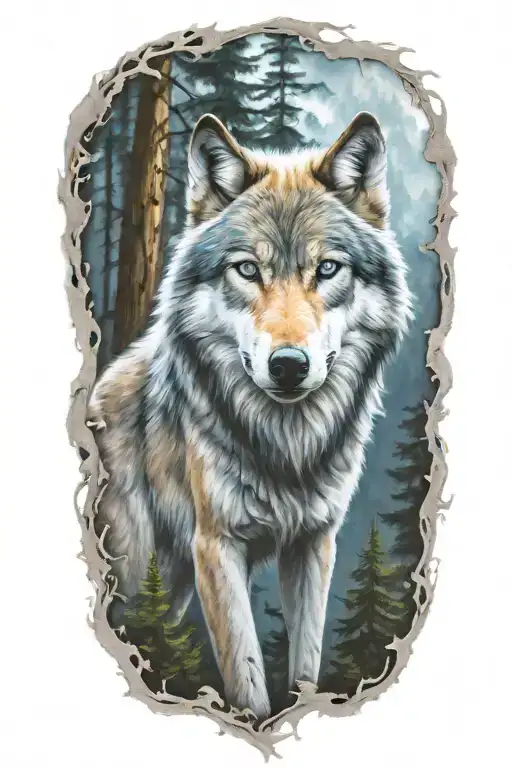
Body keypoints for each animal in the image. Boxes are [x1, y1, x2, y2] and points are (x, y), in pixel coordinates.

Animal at [88, 111, 412, 718]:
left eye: (327, 269)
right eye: (246, 269)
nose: (288, 365)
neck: (286, 447)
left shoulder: (314, 544)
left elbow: (305, 665)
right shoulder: (216, 547)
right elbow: (246, 677)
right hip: (140, 571)